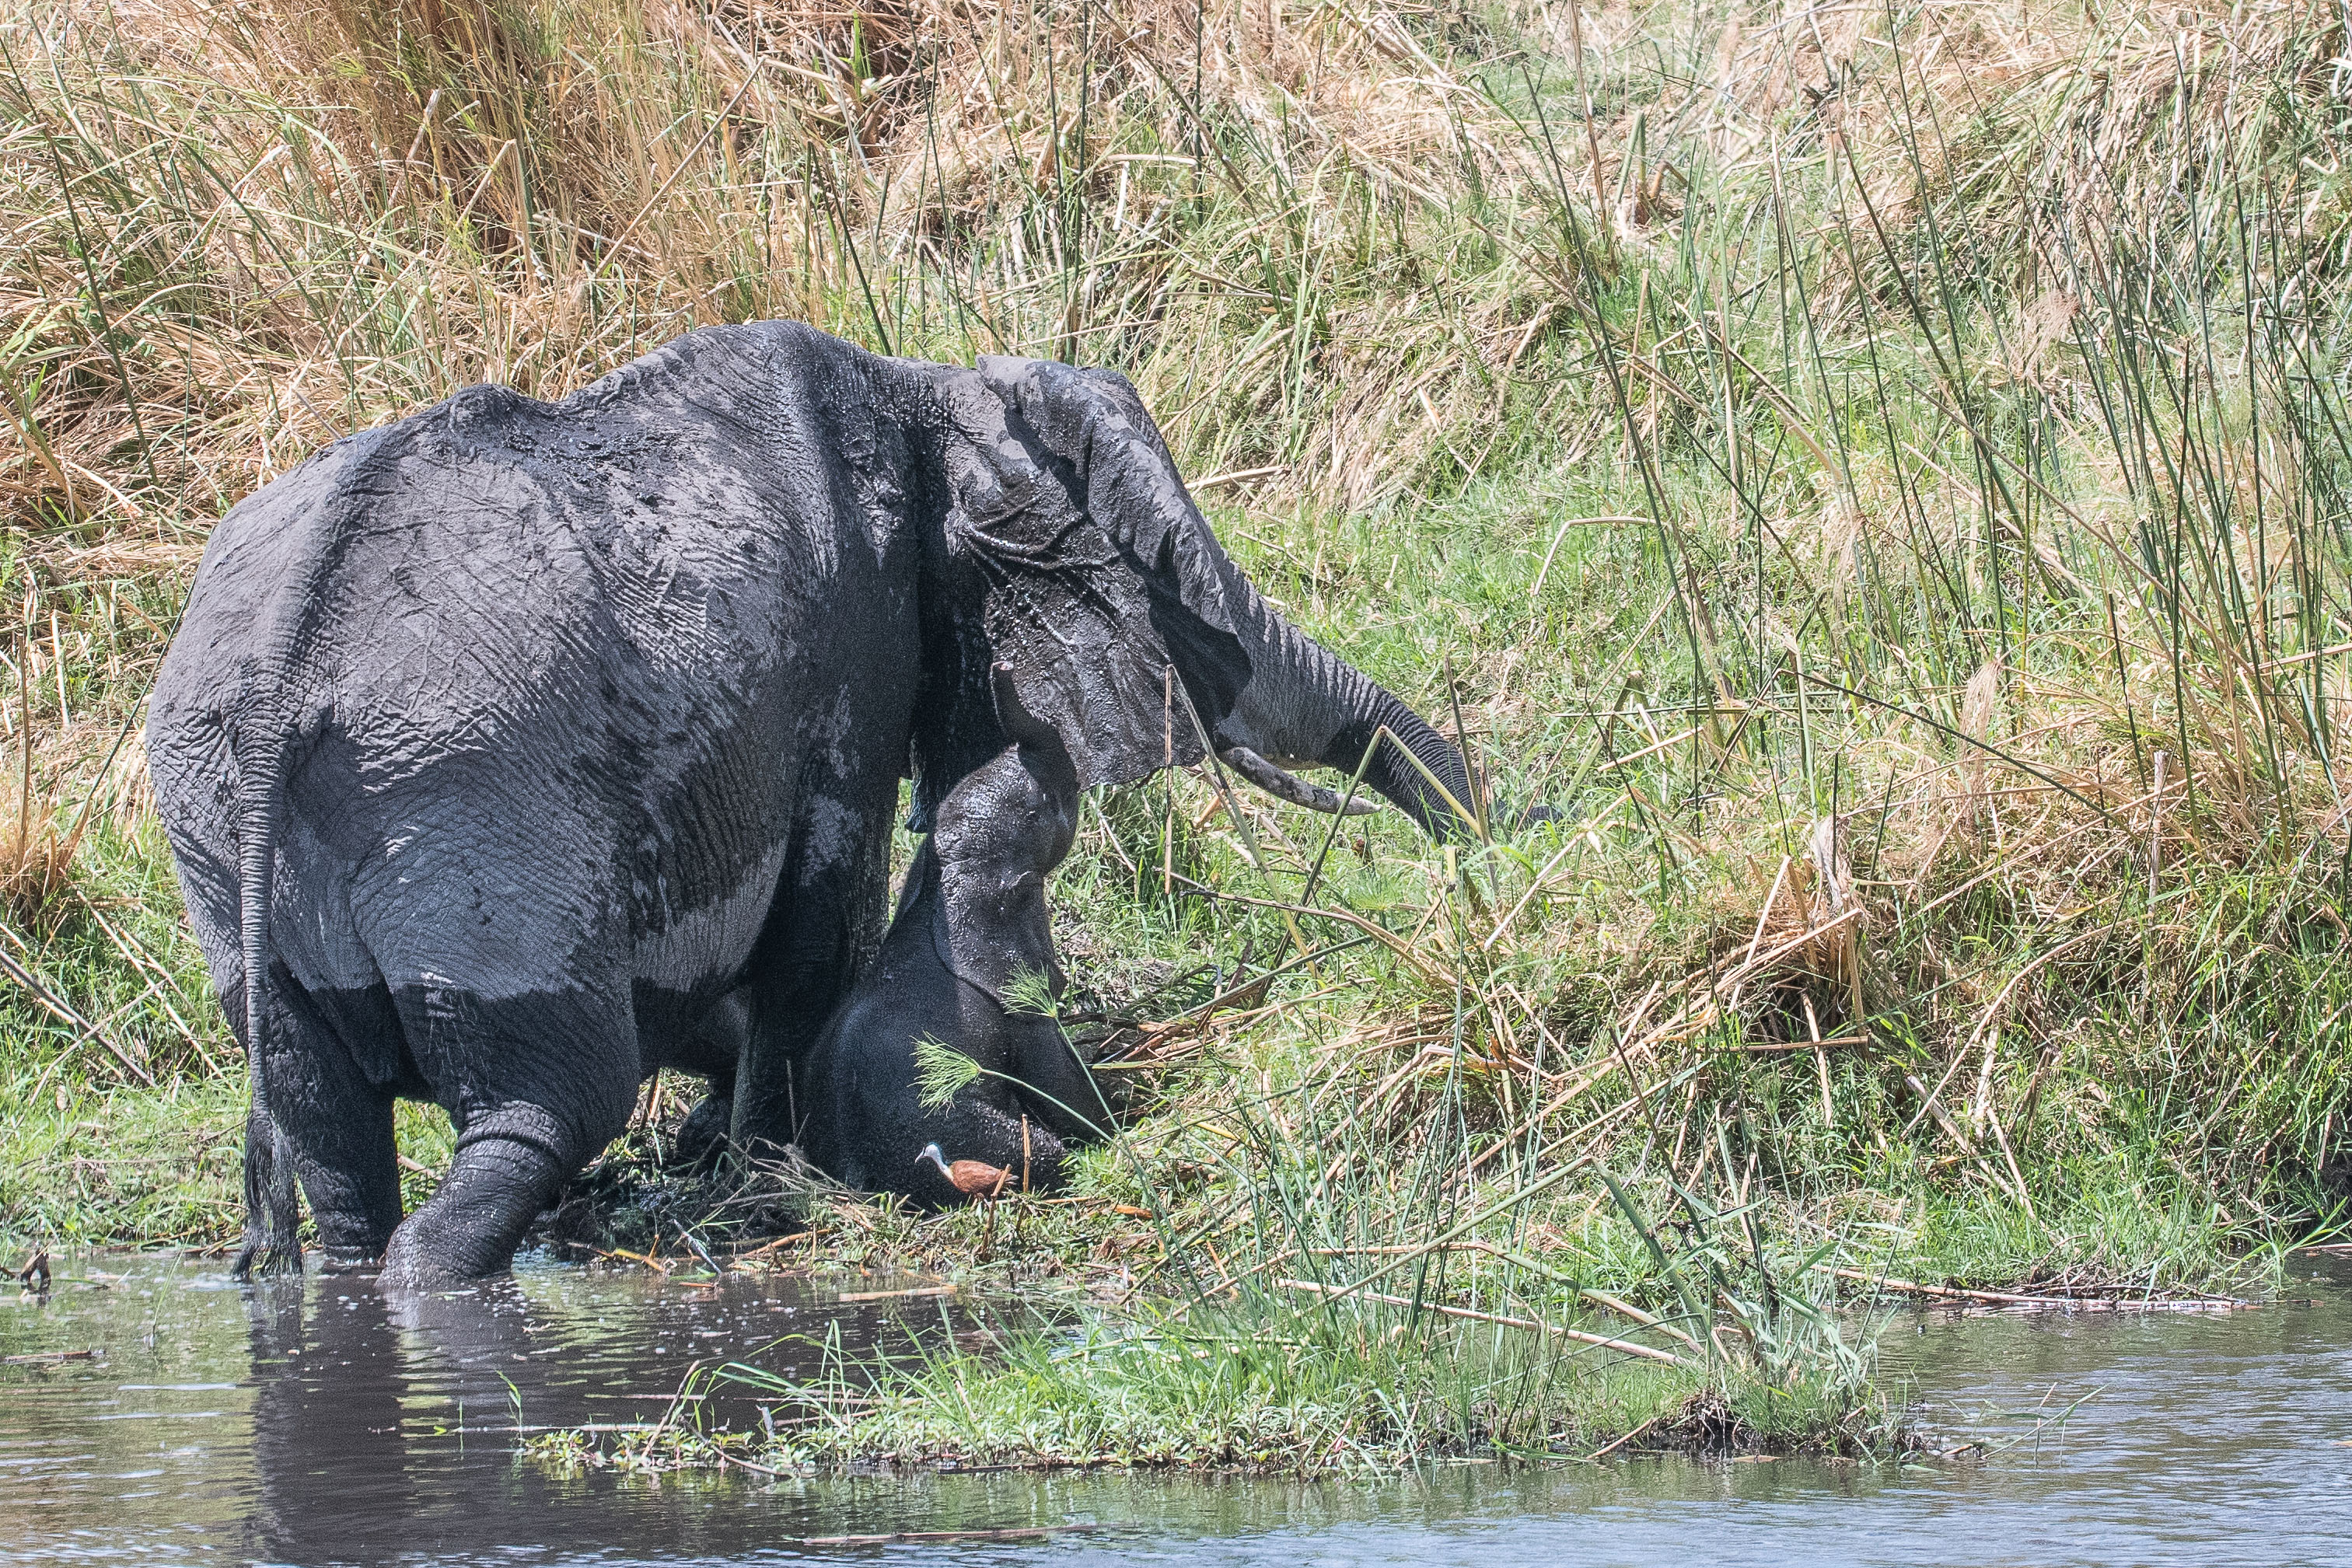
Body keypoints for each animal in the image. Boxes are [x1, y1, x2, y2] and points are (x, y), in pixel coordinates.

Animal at [799, 667, 1091, 1203]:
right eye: (1043, 808)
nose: (1001, 671)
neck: (947, 879)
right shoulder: (1017, 1001)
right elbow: (1061, 1083)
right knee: (1042, 1151)